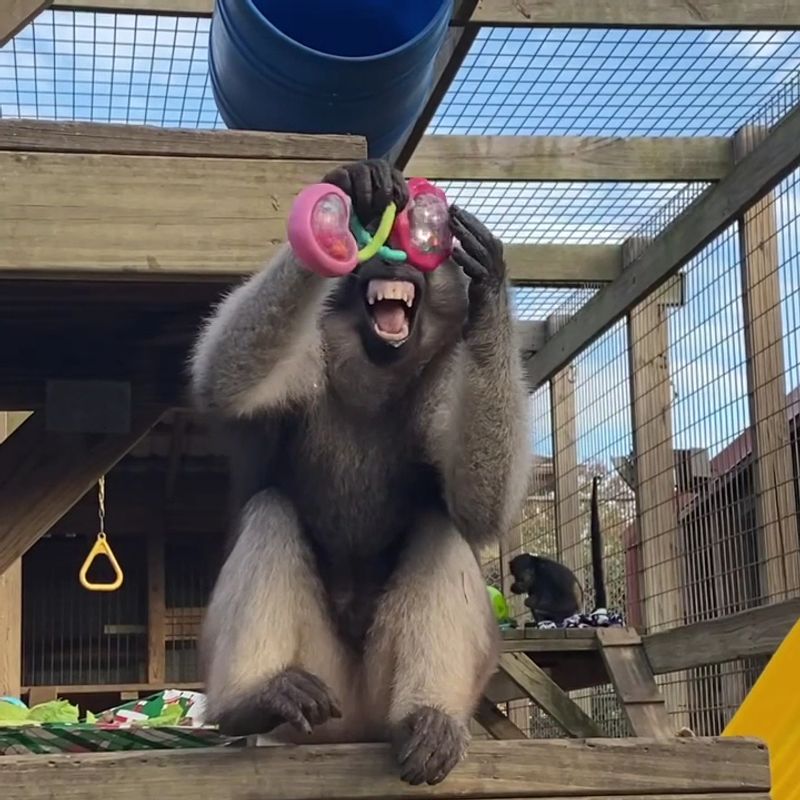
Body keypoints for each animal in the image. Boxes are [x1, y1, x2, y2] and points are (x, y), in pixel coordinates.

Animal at [189, 158, 532, 786]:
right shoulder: (313, 361)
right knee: (272, 510)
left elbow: (479, 507)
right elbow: (222, 381)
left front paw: (488, 279)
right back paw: (255, 699)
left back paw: (429, 720)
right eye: (374, 228)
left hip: (377, 693)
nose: (388, 254)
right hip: (326, 684)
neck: (375, 370)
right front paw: (352, 185)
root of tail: (353, 726)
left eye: (418, 233)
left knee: (439, 523)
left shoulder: (442, 375)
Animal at [508, 474, 607, 624]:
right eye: (517, 575)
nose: (523, 579)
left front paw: (530, 601)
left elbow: (567, 602)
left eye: (526, 572)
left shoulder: (549, 572)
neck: (536, 571)